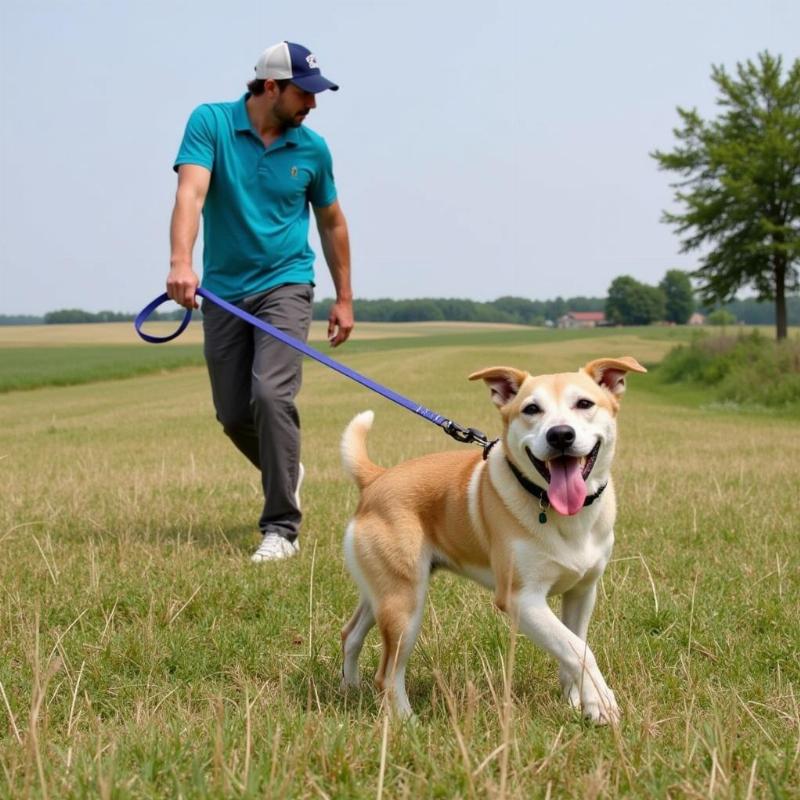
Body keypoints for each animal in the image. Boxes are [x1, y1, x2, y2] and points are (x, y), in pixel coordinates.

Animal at [338, 358, 644, 724]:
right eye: (531, 409)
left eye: (584, 403)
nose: (560, 435)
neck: (558, 510)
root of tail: (376, 478)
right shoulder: (521, 599)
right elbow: (577, 649)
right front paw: (601, 703)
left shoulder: (582, 592)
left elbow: (573, 644)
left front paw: (576, 702)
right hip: (404, 603)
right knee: (387, 673)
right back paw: (408, 722)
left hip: (382, 591)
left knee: (350, 634)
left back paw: (350, 688)